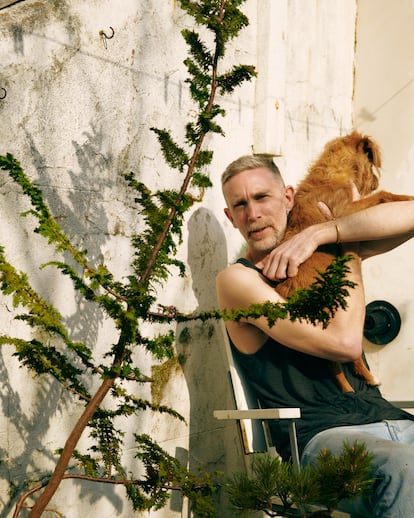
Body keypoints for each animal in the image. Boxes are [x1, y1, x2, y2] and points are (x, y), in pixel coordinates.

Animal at [274, 131, 414, 394]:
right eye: (371, 163)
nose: (375, 182)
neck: (332, 172)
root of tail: (287, 292)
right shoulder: (345, 212)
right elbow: (382, 196)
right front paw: (407, 197)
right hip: (335, 318)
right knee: (337, 359)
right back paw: (361, 382)